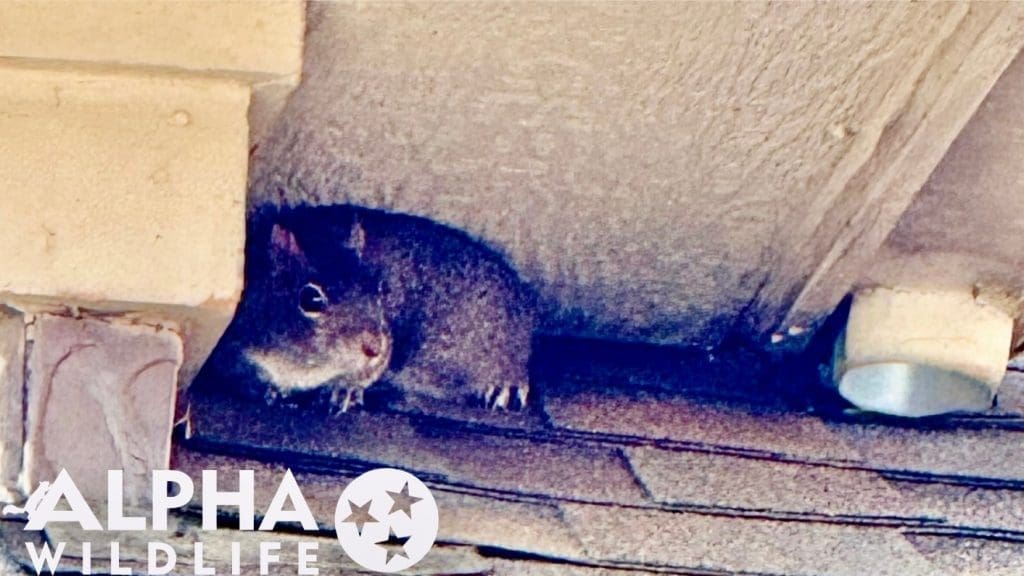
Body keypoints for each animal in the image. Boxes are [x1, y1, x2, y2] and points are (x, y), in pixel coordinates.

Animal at [199, 204, 535, 413]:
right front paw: (263, 387)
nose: (374, 346)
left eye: (380, 290)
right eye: (310, 299)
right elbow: (234, 370)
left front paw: (345, 389)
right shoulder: (232, 341)